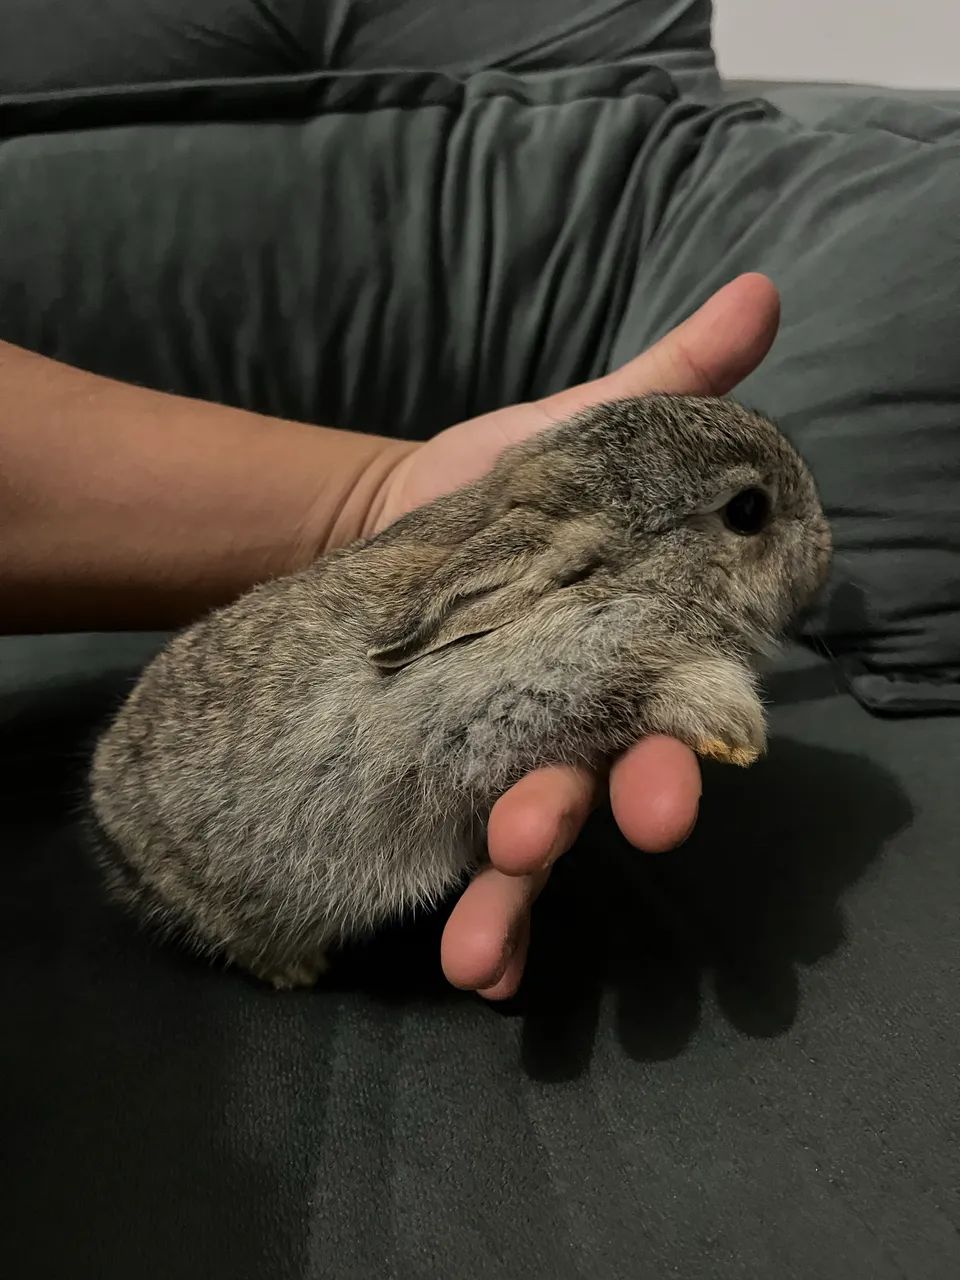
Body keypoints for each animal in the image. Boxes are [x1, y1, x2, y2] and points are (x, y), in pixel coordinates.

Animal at [88, 394, 832, 990]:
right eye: (747, 511)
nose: (827, 544)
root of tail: (104, 818)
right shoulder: (506, 704)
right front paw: (733, 725)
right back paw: (298, 970)